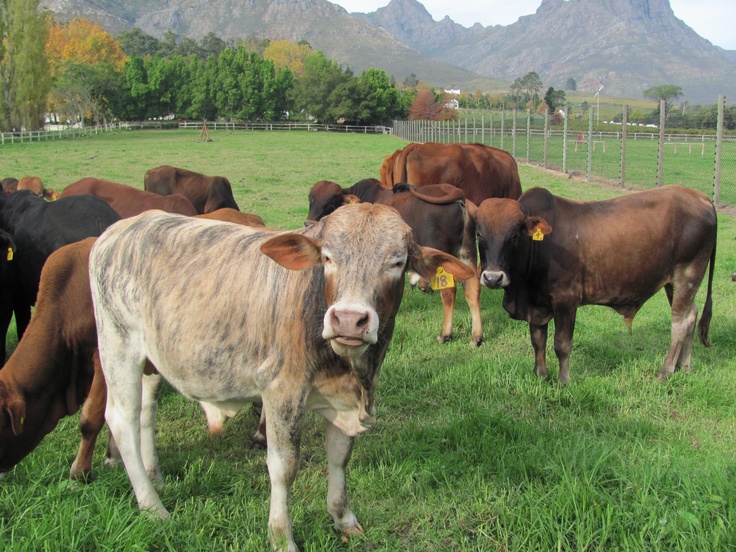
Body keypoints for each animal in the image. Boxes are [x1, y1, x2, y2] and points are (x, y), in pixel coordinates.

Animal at [89, 205, 474, 548]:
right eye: (328, 258)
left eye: (396, 262)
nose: (349, 320)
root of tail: (118, 231)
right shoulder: (281, 391)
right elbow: (283, 467)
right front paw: (281, 536)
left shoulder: (344, 399)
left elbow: (340, 455)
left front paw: (342, 517)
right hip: (118, 345)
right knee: (122, 421)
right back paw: (152, 506)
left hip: (151, 361)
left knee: (146, 412)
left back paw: (156, 479)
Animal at [306, 179, 484, 348]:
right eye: (310, 198)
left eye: (331, 202)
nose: (308, 224)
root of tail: (460, 198)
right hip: (467, 253)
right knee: (472, 288)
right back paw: (477, 337)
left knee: (449, 291)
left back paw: (445, 334)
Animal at [474, 185, 716, 384]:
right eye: (479, 235)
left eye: (514, 235)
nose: (493, 278)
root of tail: (702, 197)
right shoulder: (537, 303)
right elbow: (538, 340)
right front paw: (540, 375)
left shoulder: (566, 299)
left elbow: (561, 344)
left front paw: (564, 381)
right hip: (674, 283)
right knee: (691, 314)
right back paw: (683, 366)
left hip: (688, 275)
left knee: (679, 323)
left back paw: (665, 371)